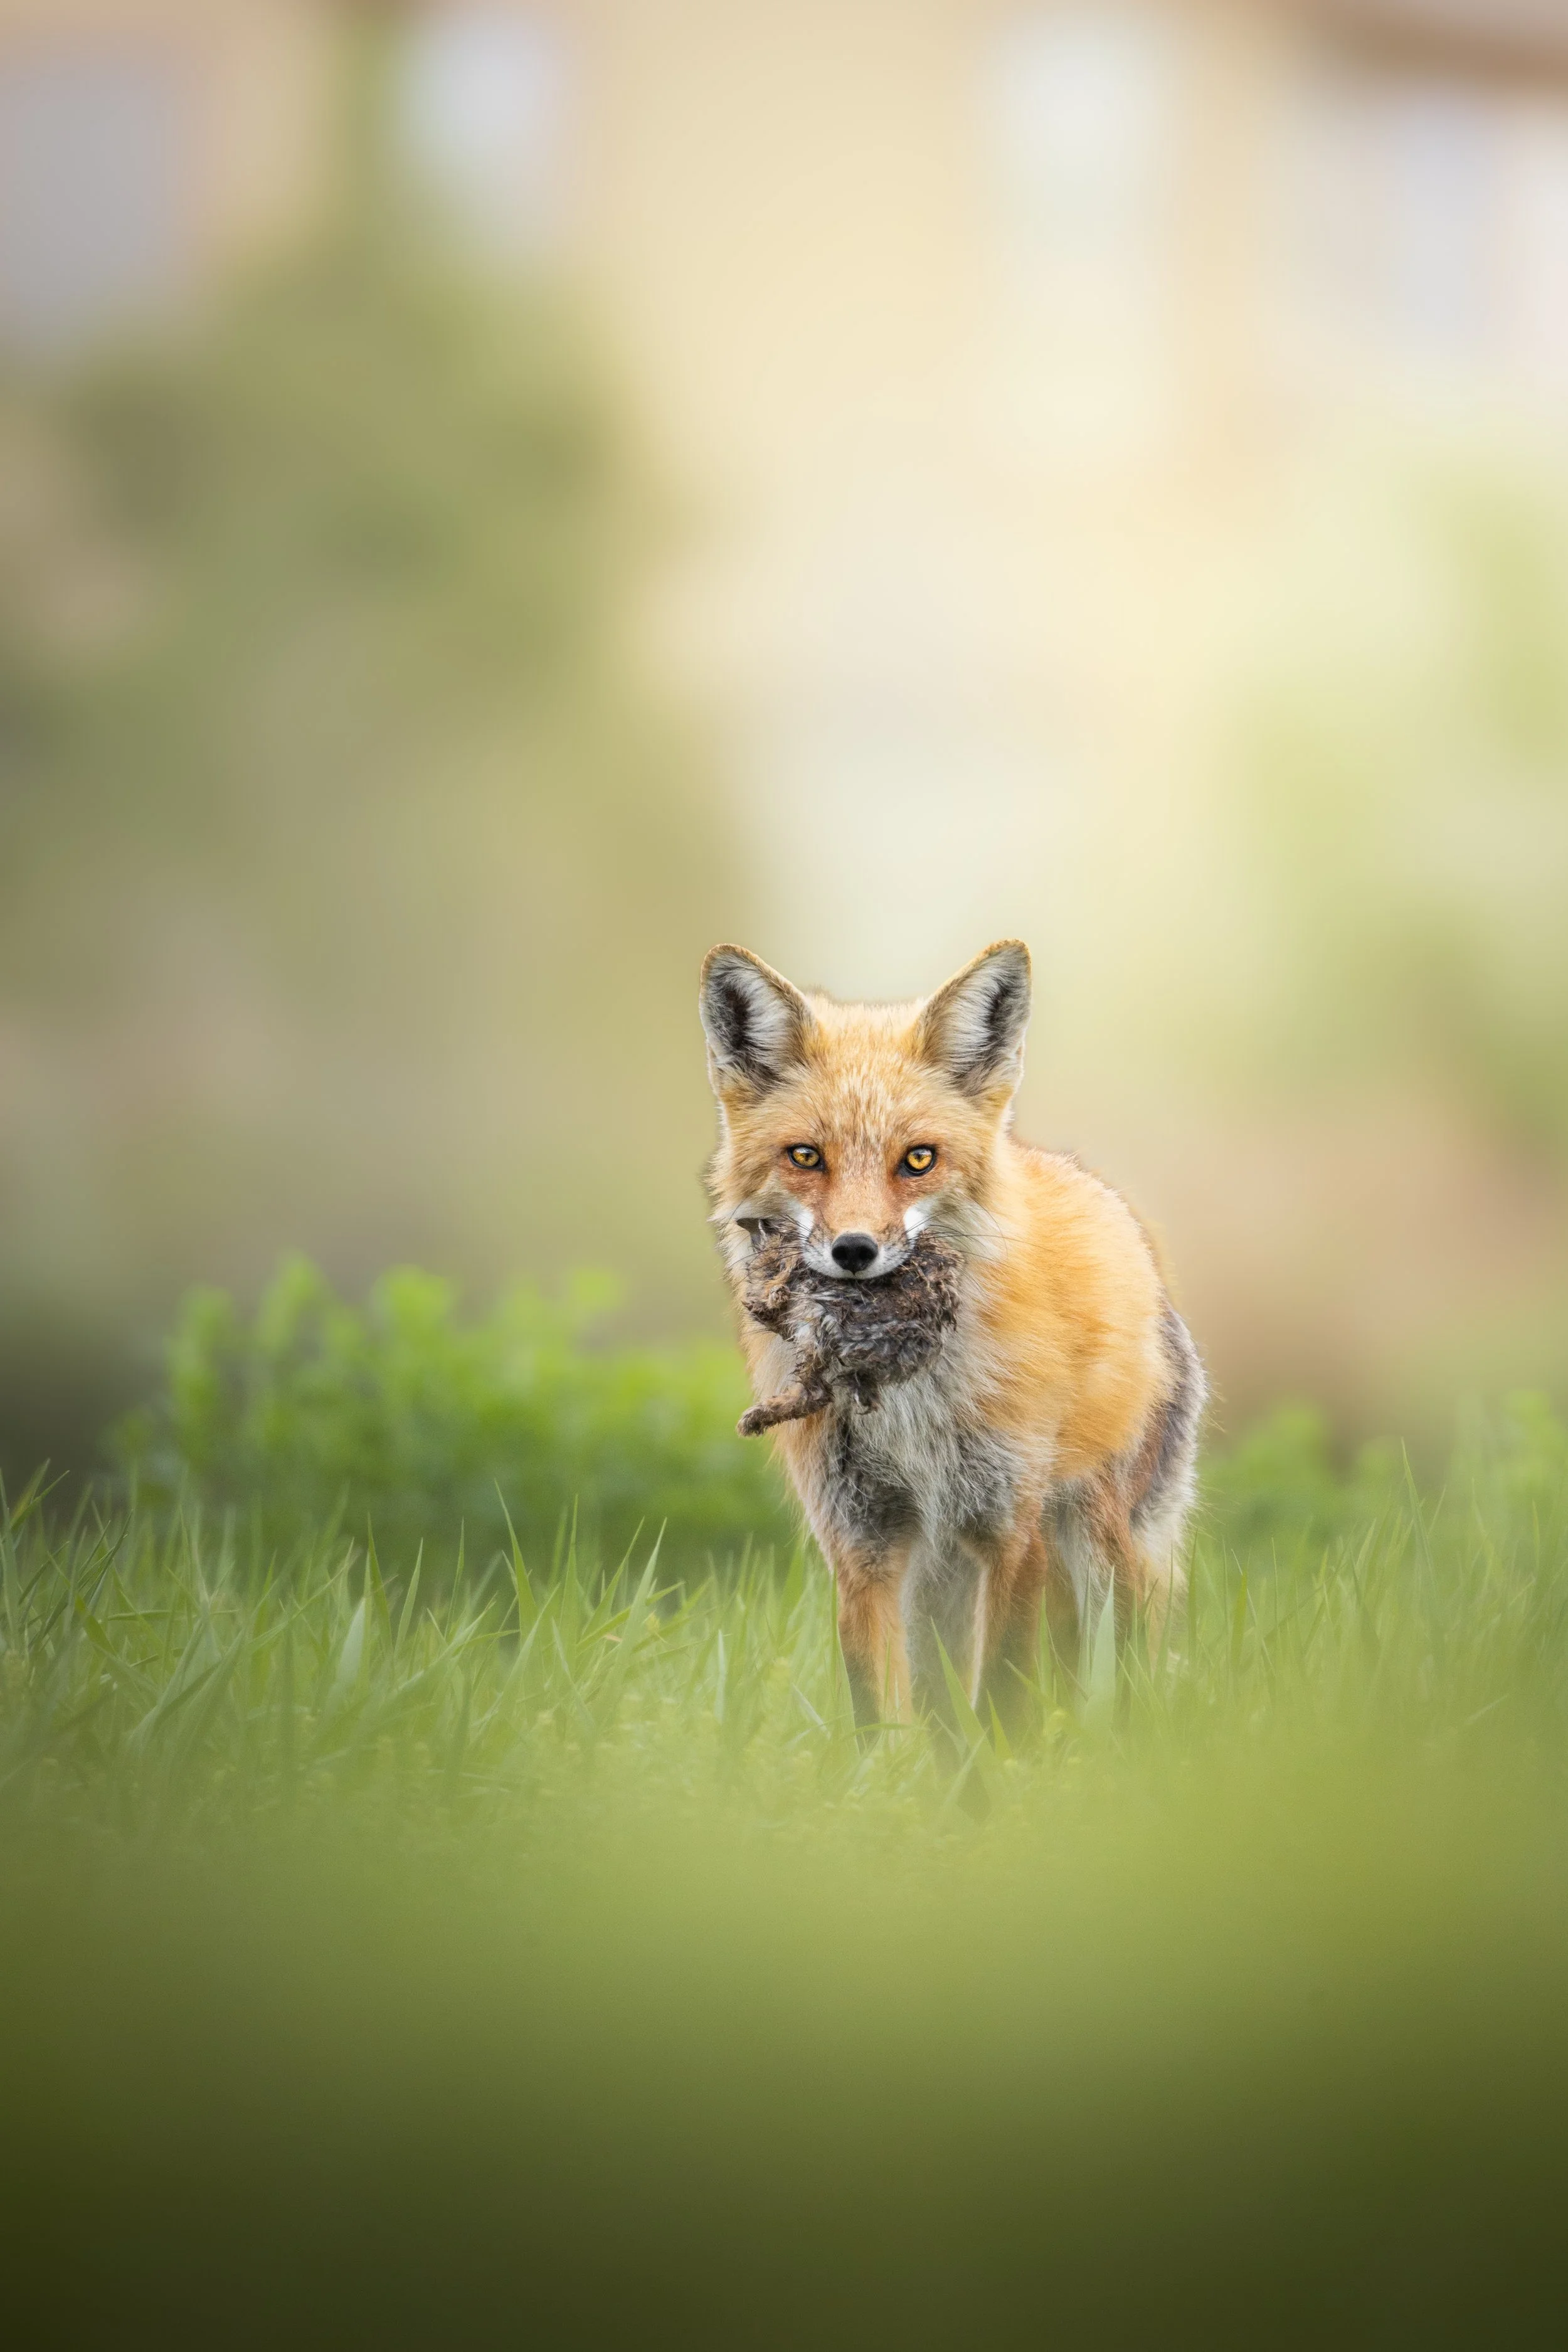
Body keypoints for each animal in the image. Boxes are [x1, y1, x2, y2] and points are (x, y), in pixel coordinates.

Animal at [699, 938, 1204, 1730]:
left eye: (918, 1159)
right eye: (805, 1156)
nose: (853, 1251)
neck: (908, 1402)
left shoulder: (1009, 1529)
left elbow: (1001, 1700)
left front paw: (1010, 1766)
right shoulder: (862, 1545)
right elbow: (881, 1719)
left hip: (1098, 1544)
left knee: (1124, 1673)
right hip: (939, 1582)